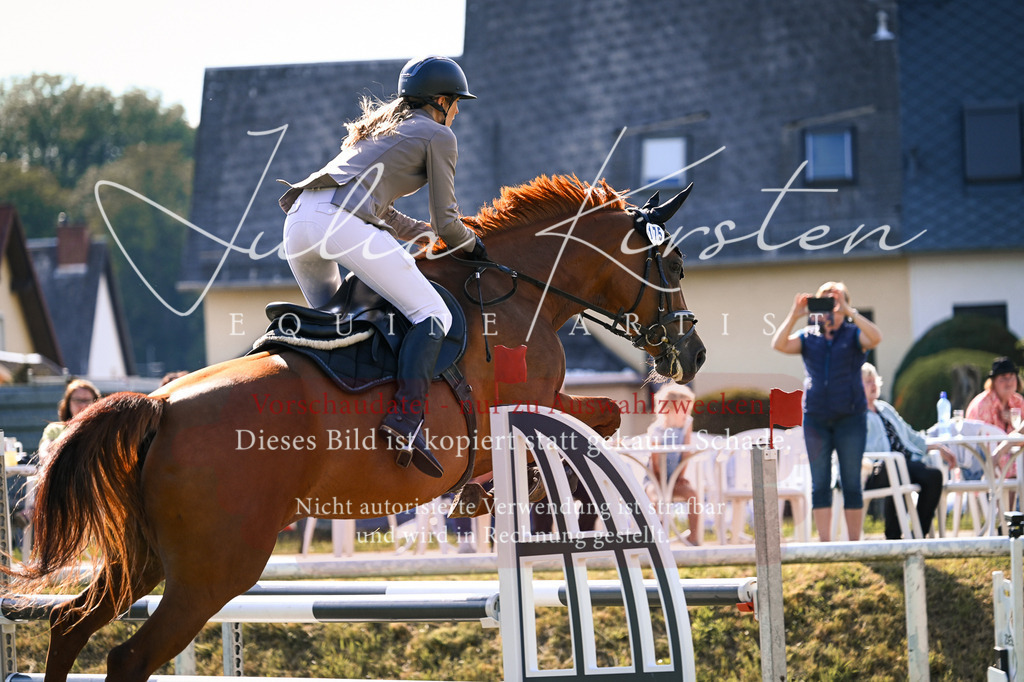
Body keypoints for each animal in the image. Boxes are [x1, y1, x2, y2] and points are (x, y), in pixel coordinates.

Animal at [7, 173, 705, 681]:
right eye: (672, 265)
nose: (691, 354)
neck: (521, 292)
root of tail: (162, 408)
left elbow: (597, 419)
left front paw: (486, 494)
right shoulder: (526, 402)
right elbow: (601, 416)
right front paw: (498, 492)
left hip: (147, 557)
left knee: (70, 625)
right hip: (214, 571)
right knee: (128, 656)